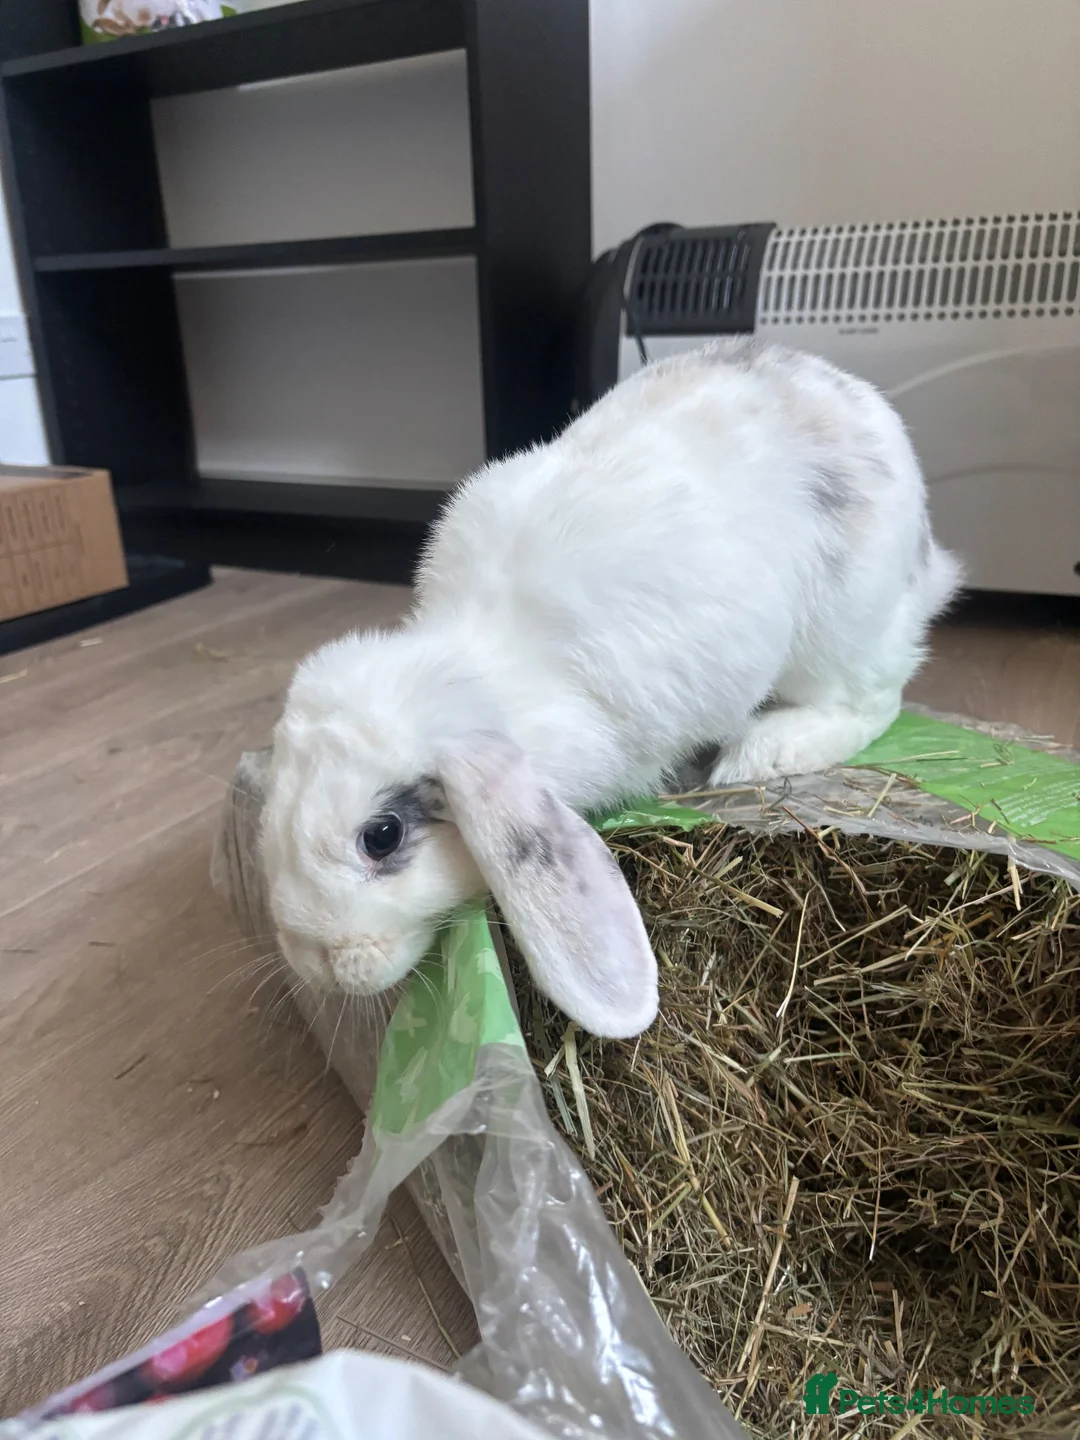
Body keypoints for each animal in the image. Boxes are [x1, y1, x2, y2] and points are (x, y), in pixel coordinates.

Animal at [260, 338, 961, 1040]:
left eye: (381, 836)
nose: (312, 962)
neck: (487, 668)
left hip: (840, 633)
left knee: (876, 699)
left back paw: (764, 751)